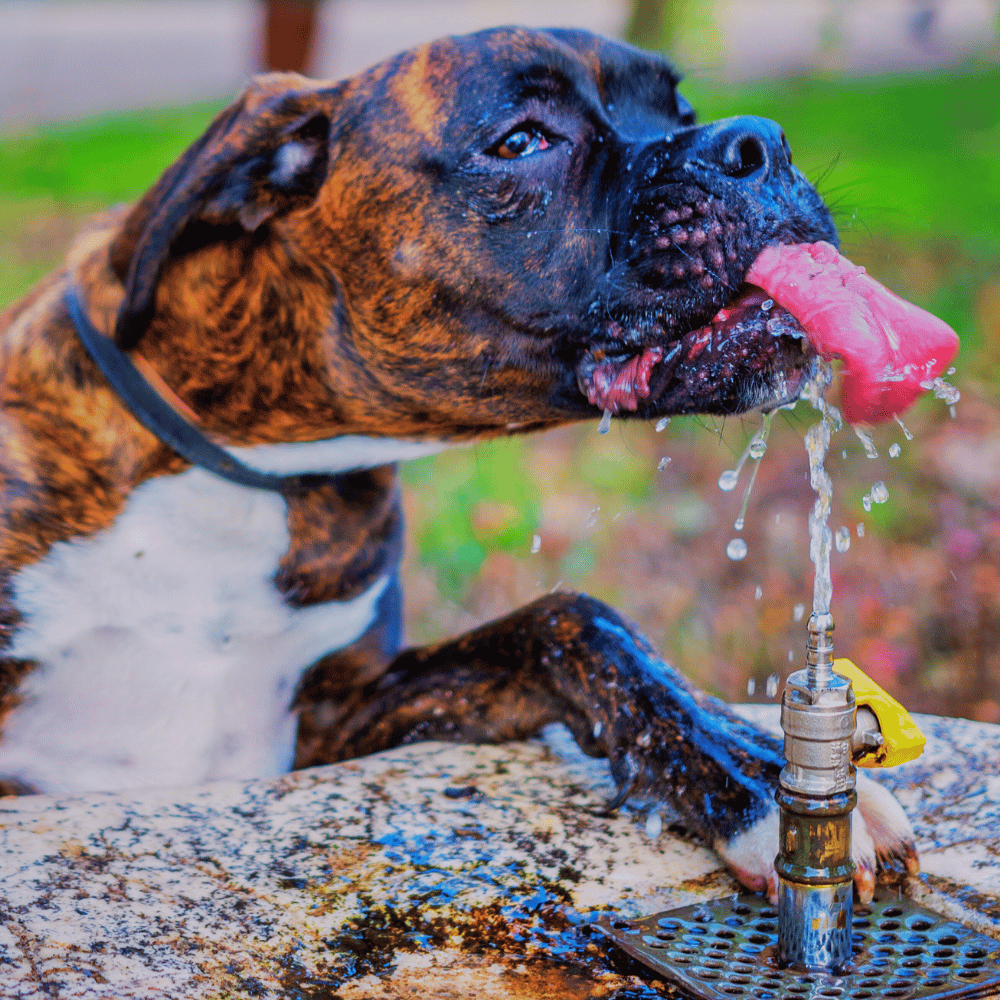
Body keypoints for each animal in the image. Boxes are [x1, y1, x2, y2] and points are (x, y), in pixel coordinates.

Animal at [0, 25, 916, 900]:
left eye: (681, 110)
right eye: (520, 141)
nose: (759, 141)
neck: (245, 470)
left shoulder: (342, 722)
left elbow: (574, 623)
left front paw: (764, 775)